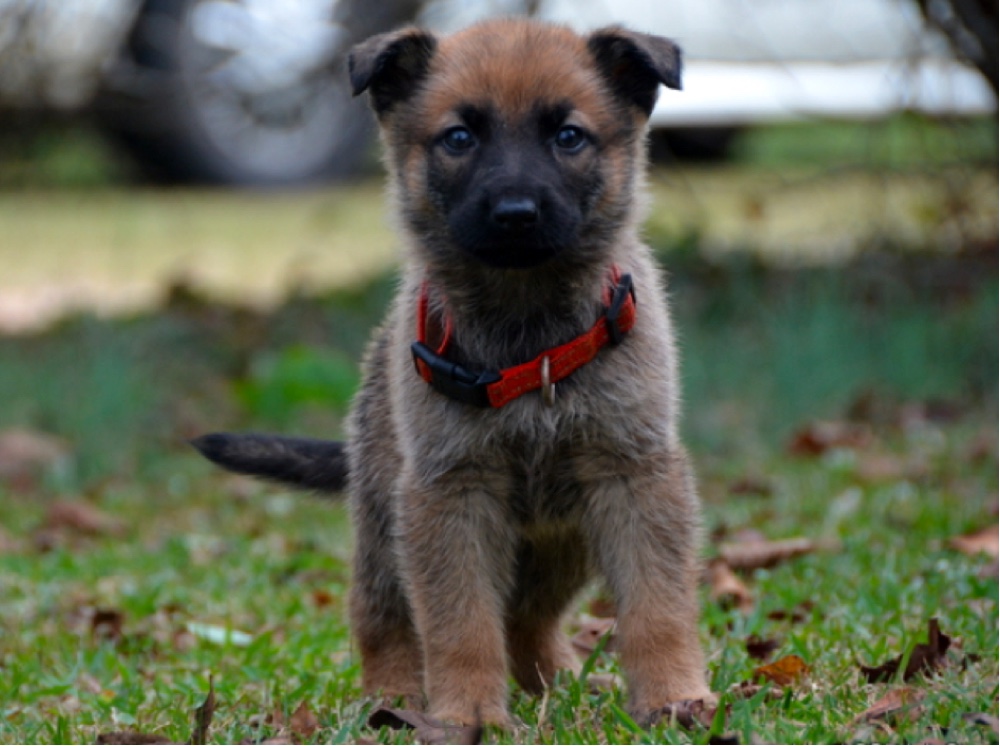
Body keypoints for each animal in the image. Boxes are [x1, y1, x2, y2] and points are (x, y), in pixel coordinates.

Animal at [193, 17, 712, 724]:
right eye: (459, 138)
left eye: (569, 136)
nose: (516, 214)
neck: (530, 342)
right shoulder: (451, 496)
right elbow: (460, 621)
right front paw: (468, 714)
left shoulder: (633, 477)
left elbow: (658, 605)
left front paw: (673, 696)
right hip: (388, 528)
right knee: (381, 616)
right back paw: (392, 701)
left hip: (566, 539)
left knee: (525, 619)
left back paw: (561, 685)